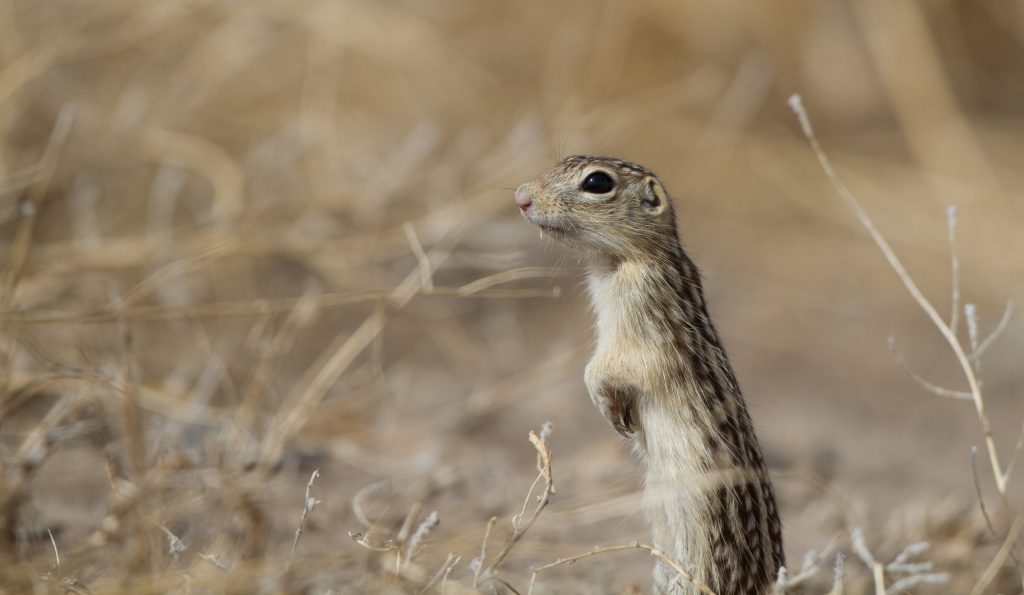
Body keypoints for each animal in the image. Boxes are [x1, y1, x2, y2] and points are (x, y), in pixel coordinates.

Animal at [516, 155, 784, 594]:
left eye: (597, 182)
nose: (522, 197)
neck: (617, 264)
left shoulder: (647, 332)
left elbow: (607, 367)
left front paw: (605, 402)